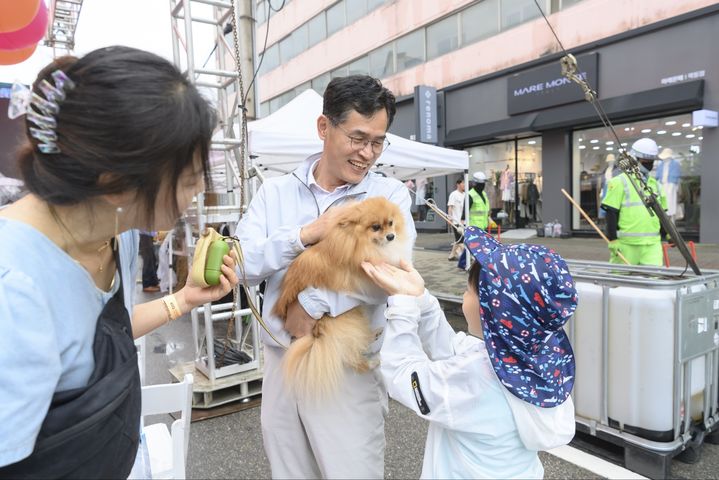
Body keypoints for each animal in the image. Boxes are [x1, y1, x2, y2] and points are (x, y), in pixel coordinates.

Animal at [274, 197, 410, 400]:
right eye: (376, 227)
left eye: (391, 223)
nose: (391, 236)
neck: (357, 240)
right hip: (346, 319)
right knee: (351, 353)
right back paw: (373, 361)